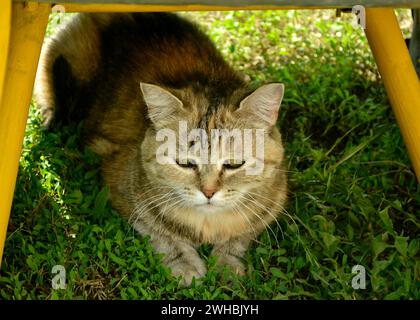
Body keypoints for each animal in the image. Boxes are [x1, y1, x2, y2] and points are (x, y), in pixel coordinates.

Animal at [35, 11, 288, 284]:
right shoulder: (121, 189)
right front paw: (185, 263)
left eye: (233, 164)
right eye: (185, 163)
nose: (208, 192)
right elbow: (161, 233)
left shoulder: (272, 205)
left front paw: (227, 263)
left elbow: (240, 236)